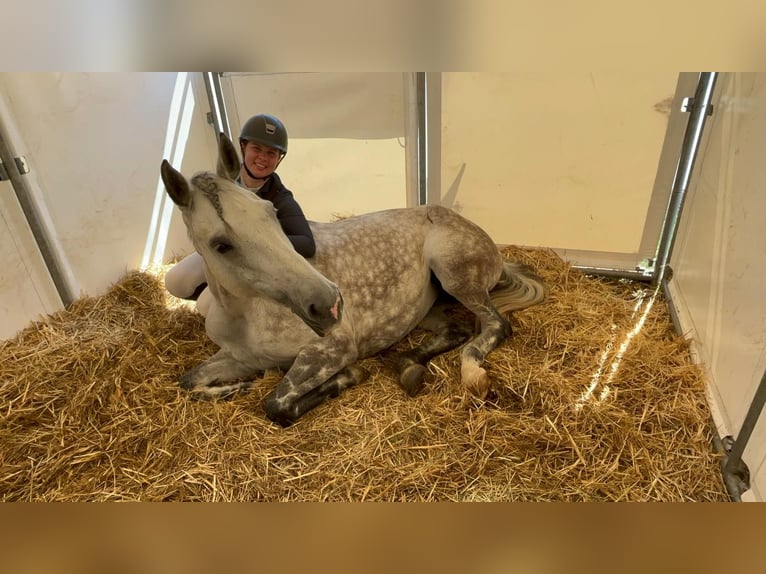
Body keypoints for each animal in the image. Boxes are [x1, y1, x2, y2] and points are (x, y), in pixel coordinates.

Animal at [160, 132, 546, 427]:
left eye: (270, 211)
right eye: (220, 244)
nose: (329, 304)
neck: (247, 314)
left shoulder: (332, 350)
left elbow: (276, 404)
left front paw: (351, 376)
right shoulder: (239, 358)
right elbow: (187, 381)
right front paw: (235, 389)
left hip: (456, 277)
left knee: (495, 325)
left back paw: (472, 375)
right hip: (423, 309)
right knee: (455, 329)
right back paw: (409, 367)